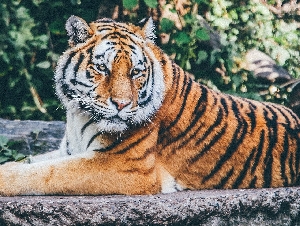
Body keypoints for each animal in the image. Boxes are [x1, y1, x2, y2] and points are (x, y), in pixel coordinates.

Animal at [0, 16, 300, 196]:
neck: (79, 115)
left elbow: (47, 173)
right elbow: (32, 162)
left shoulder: (124, 166)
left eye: (135, 72)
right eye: (102, 68)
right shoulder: (69, 150)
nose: (121, 104)